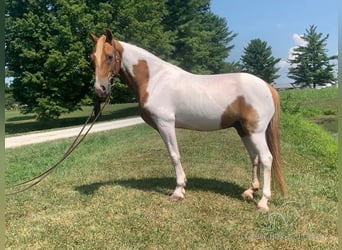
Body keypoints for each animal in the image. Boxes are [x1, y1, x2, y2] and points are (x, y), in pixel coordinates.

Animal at [89, 29, 284, 213]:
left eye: (109, 56)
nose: (100, 89)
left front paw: (178, 191)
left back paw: (263, 202)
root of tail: (267, 86)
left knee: (267, 158)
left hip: (256, 132)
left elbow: (174, 155)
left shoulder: (166, 124)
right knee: (254, 157)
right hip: (244, 130)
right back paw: (250, 191)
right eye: (92, 58)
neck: (155, 80)